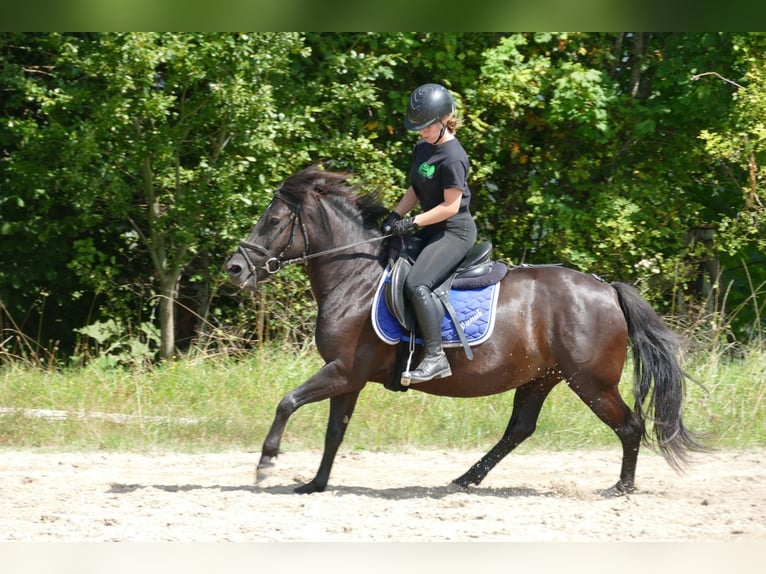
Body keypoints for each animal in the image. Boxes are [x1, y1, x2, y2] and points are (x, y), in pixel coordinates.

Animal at [225, 165, 704, 496]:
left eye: (272, 222)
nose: (234, 269)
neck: (355, 280)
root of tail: (607, 289)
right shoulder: (349, 378)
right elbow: (334, 432)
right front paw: (316, 484)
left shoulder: (343, 370)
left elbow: (287, 402)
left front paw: (266, 463)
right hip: (541, 377)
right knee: (519, 429)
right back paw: (465, 479)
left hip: (591, 382)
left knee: (630, 426)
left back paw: (621, 488)